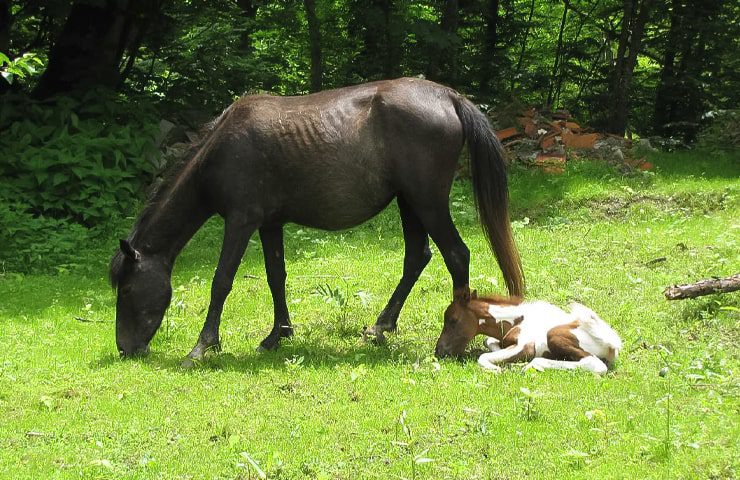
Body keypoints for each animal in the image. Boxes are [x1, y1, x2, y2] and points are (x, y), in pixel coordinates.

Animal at [111, 79, 528, 362]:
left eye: (127, 289)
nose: (126, 349)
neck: (222, 150)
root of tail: (447, 96)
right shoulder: (269, 224)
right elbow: (275, 277)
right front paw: (277, 335)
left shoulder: (241, 222)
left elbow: (222, 281)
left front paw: (203, 345)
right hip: (409, 203)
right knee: (417, 257)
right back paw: (380, 327)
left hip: (427, 202)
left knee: (456, 255)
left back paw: (451, 338)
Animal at [436, 286, 620, 374]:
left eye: (453, 320)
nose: (439, 351)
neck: (519, 319)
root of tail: (613, 345)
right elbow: (489, 341)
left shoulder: (525, 346)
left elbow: (483, 357)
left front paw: (497, 369)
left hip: (554, 335)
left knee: (594, 364)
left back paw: (530, 365)